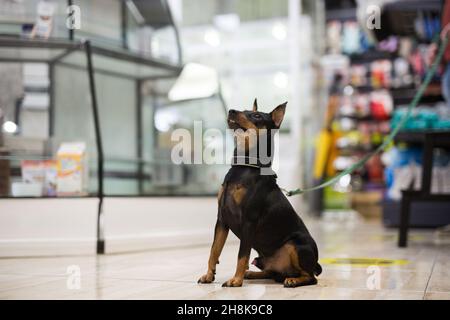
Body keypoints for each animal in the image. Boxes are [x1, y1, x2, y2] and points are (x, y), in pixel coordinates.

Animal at [197, 99, 320, 288]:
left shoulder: (249, 221)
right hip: (263, 258)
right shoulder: (222, 219)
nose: (231, 111)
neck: (245, 166)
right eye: (243, 109)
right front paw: (209, 275)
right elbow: (214, 250)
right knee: (271, 272)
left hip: (296, 245)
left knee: (311, 277)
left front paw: (235, 280)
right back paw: (252, 274)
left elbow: (241, 255)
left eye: (256, 115)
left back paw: (293, 280)